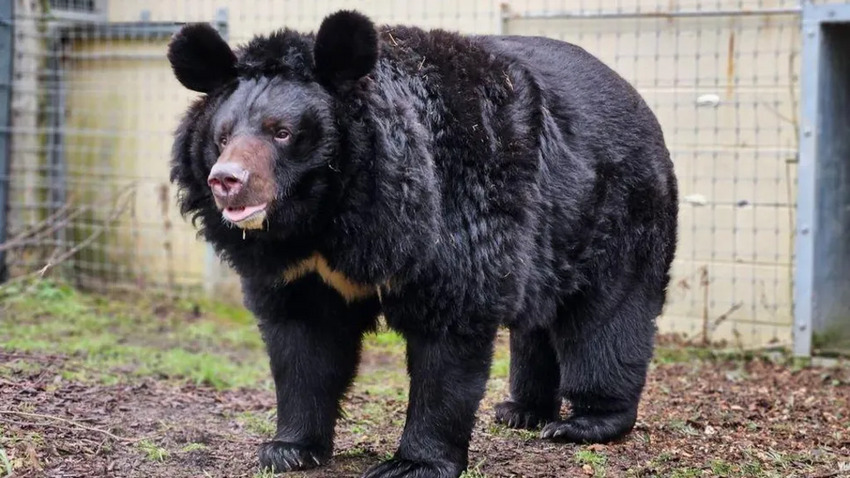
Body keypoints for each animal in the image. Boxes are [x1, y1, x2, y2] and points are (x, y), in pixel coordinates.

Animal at [167, 10, 677, 478]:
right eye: (222, 136)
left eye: (282, 132)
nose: (226, 181)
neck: (327, 217)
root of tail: (636, 97)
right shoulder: (297, 269)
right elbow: (302, 342)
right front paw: (288, 449)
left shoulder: (454, 215)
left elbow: (449, 337)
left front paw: (413, 463)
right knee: (537, 320)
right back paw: (521, 411)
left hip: (619, 211)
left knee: (606, 317)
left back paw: (585, 422)